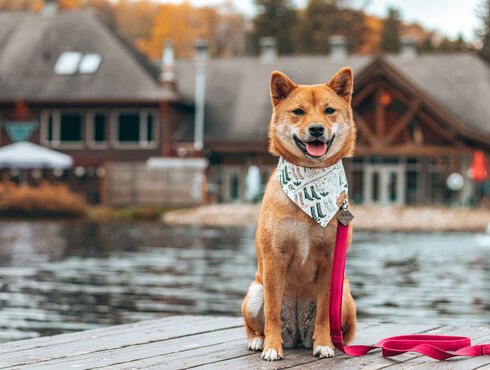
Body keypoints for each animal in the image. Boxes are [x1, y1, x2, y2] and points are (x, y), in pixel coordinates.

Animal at [241, 67, 356, 362]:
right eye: (298, 112)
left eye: (329, 110)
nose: (316, 129)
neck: (310, 177)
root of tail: (297, 335)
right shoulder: (274, 258)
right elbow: (272, 312)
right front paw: (272, 347)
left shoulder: (330, 262)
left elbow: (324, 313)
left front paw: (324, 344)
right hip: (254, 293)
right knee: (254, 326)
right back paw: (259, 341)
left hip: (345, 297)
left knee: (343, 332)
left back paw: (330, 342)